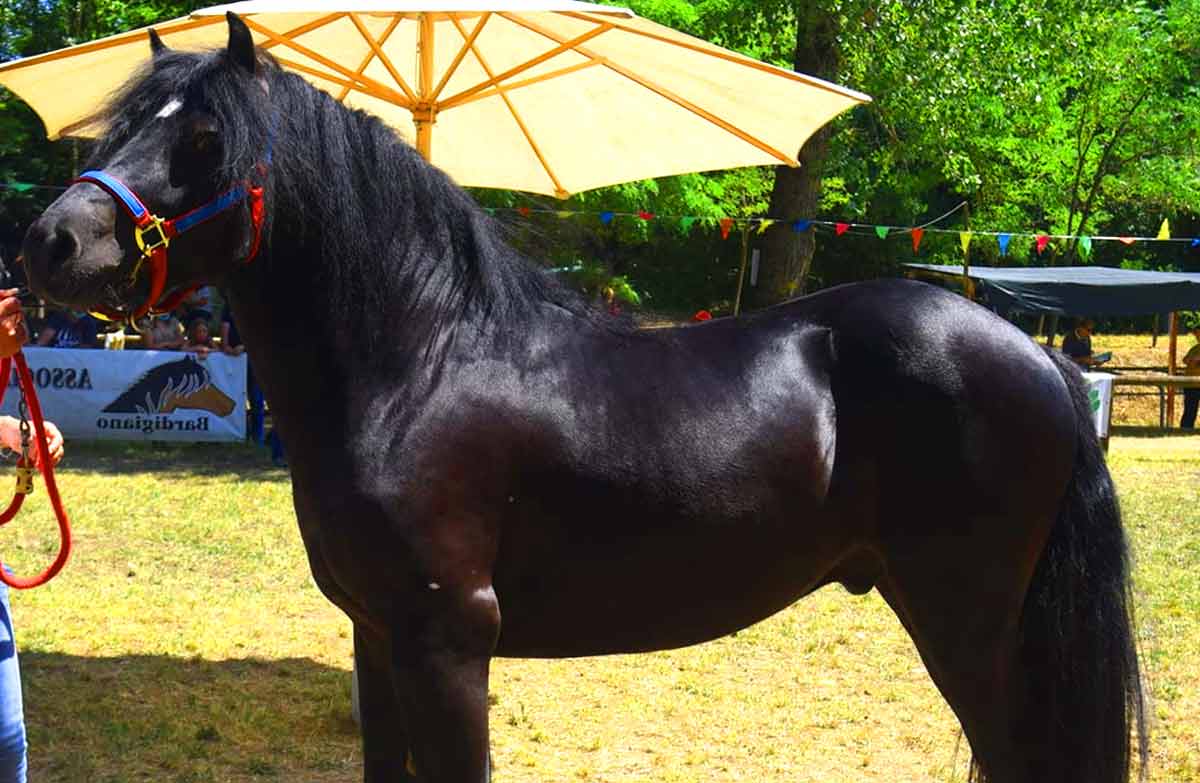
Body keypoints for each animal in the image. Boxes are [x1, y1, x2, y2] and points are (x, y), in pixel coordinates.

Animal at [21, 14, 1146, 783]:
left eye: (205, 139)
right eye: (123, 125)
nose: (50, 242)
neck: (418, 365)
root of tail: (1035, 357)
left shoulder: (447, 643)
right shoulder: (378, 639)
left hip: (973, 631)